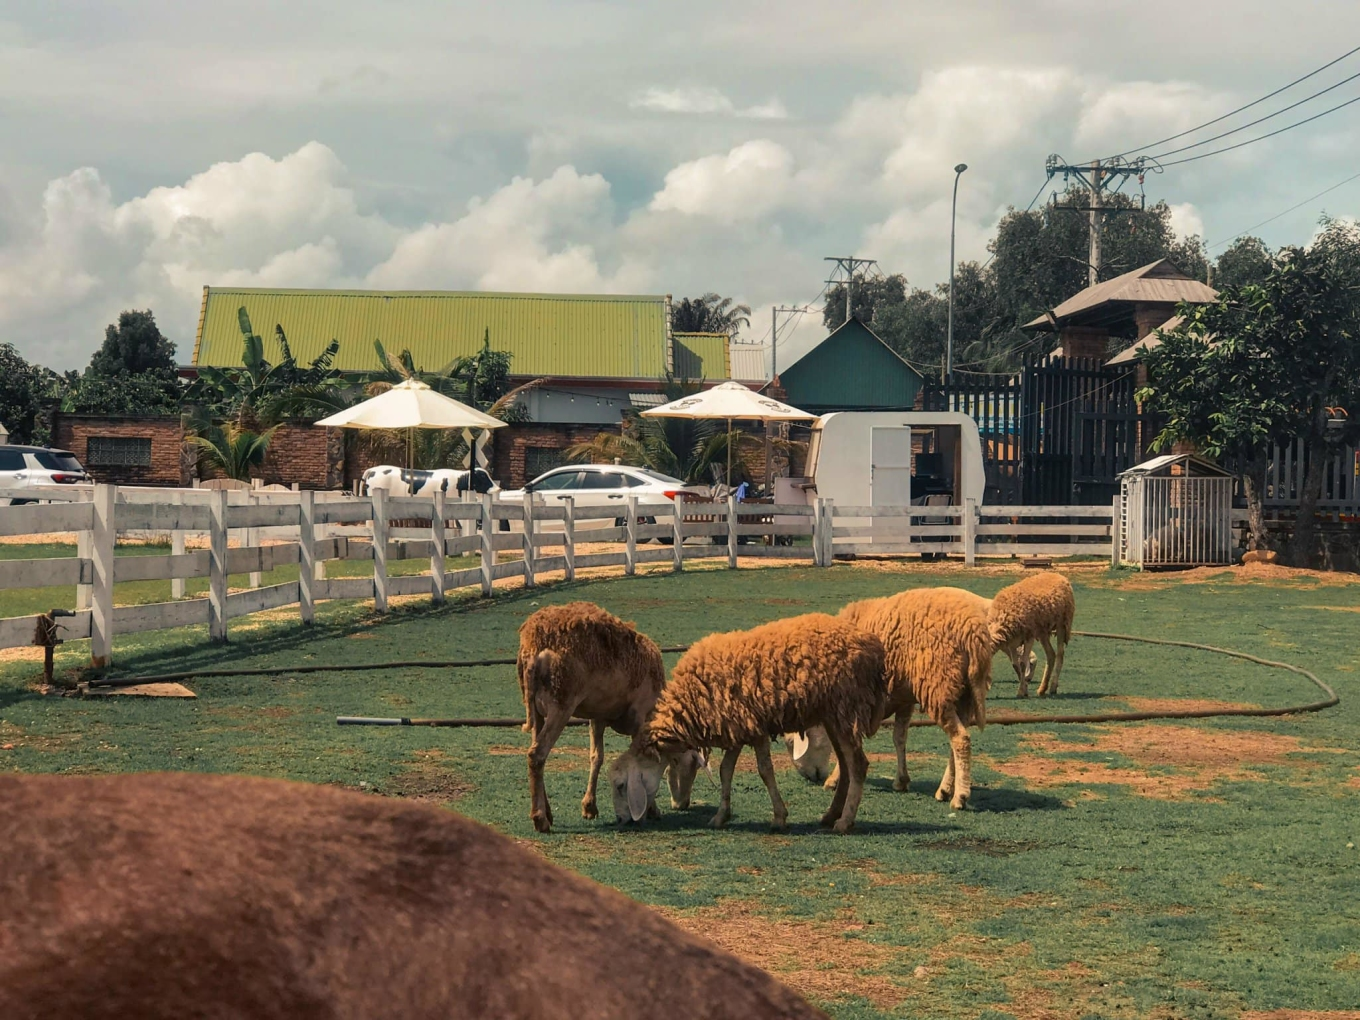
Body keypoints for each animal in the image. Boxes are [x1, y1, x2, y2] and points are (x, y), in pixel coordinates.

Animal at [519, 603, 701, 832]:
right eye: (693, 764)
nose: (683, 804)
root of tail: (534, 647)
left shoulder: (597, 716)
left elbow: (596, 757)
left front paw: (589, 807)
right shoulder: (641, 715)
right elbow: (642, 761)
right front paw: (651, 810)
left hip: (536, 709)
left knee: (535, 751)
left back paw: (548, 812)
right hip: (561, 704)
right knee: (537, 754)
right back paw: (540, 819)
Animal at [612, 620, 886, 832]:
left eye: (620, 785)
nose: (621, 820)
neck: (689, 701)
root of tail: (872, 646)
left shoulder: (755, 727)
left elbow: (765, 771)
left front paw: (779, 818)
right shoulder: (735, 726)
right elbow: (725, 771)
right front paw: (721, 816)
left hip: (846, 708)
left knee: (858, 764)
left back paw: (845, 822)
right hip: (833, 716)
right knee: (847, 765)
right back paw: (831, 816)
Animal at [821, 587, 995, 810]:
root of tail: (973, 633)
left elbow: (850, 743)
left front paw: (834, 779)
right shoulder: (904, 700)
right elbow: (899, 738)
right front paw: (901, 780)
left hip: (938, 689)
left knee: (961, 739)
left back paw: (959, 797)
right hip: (963, 695)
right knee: (956, 740)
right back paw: (945, 789)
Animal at [990, 571, 1071, 701]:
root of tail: (1058, 575)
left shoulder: (1029, 637)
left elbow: (1023, 664)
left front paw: (1020, 692)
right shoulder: (1012, 642)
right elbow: (1015, 665)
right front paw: (1025, 689)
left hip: (1062, 623)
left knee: (1060, 654)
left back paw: (1053, 687)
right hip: (1042, 631)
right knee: (1051, 654)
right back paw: (1042, 689)